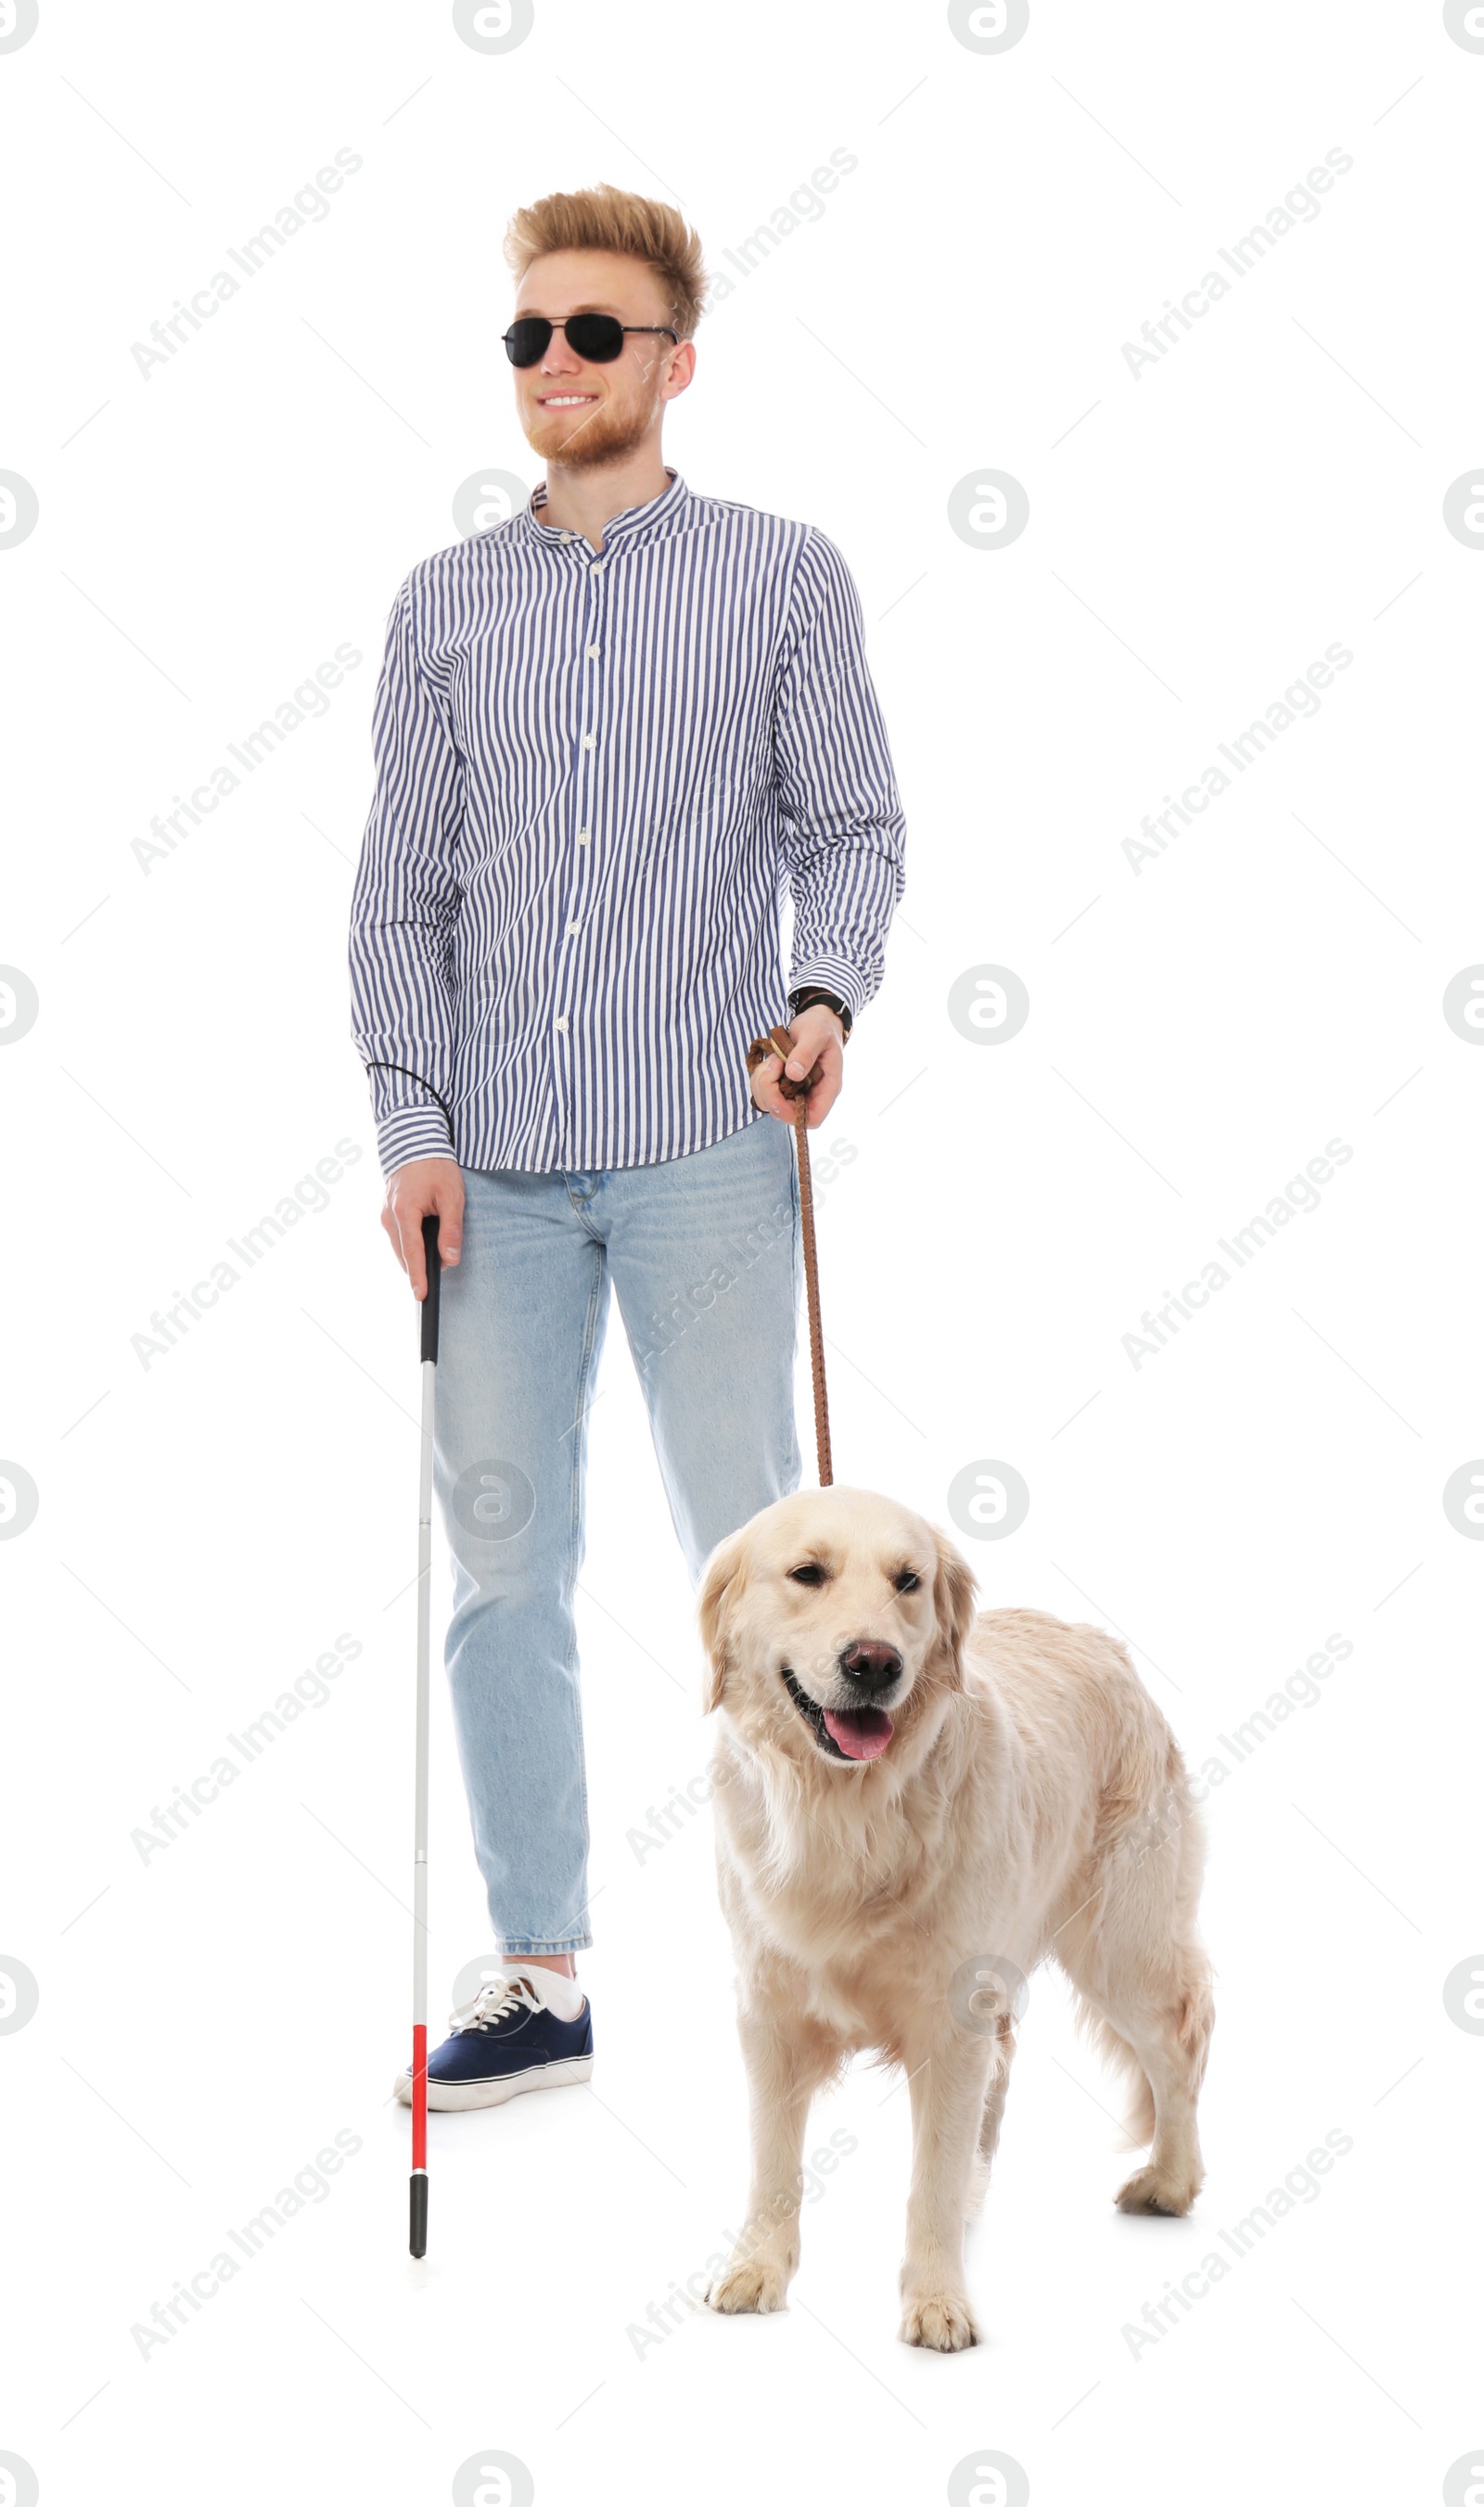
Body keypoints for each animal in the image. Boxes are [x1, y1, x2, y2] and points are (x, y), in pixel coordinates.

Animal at [697, 1484, 1218, 2347]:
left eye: (908, 1580)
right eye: (808, 1573)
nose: (874, 1662)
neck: (850, 1811)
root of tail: (1101, 1639)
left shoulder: (950, 2017)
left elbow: (929, 2177)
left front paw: (937, 2300)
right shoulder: (767, 2009)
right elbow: (773, 2160)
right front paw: (755, 2268)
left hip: (1120, 1943)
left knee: (1178, 2043)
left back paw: (1171, 2180)